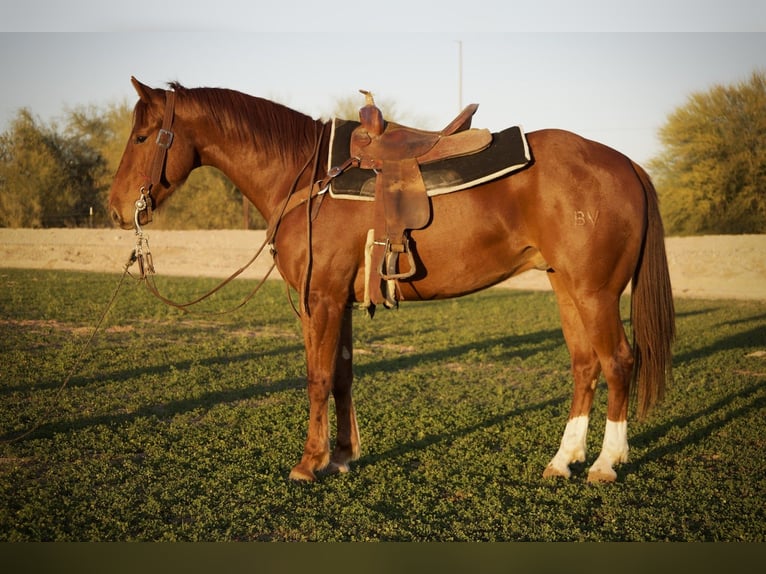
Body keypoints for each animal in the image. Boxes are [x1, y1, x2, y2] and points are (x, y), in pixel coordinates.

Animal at [108, 77, 675, 483]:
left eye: (141, 136)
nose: (116, 208)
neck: (307, 176)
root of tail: (625, 163)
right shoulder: (340, 301)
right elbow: (340, 377)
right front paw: (340, 456)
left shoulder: (321, 299)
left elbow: (316, 378)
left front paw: (308, 463)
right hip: (566, 289)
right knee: (585, 366)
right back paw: (563, 460)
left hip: (595, 293)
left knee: (619, 362)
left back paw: (605, 463)